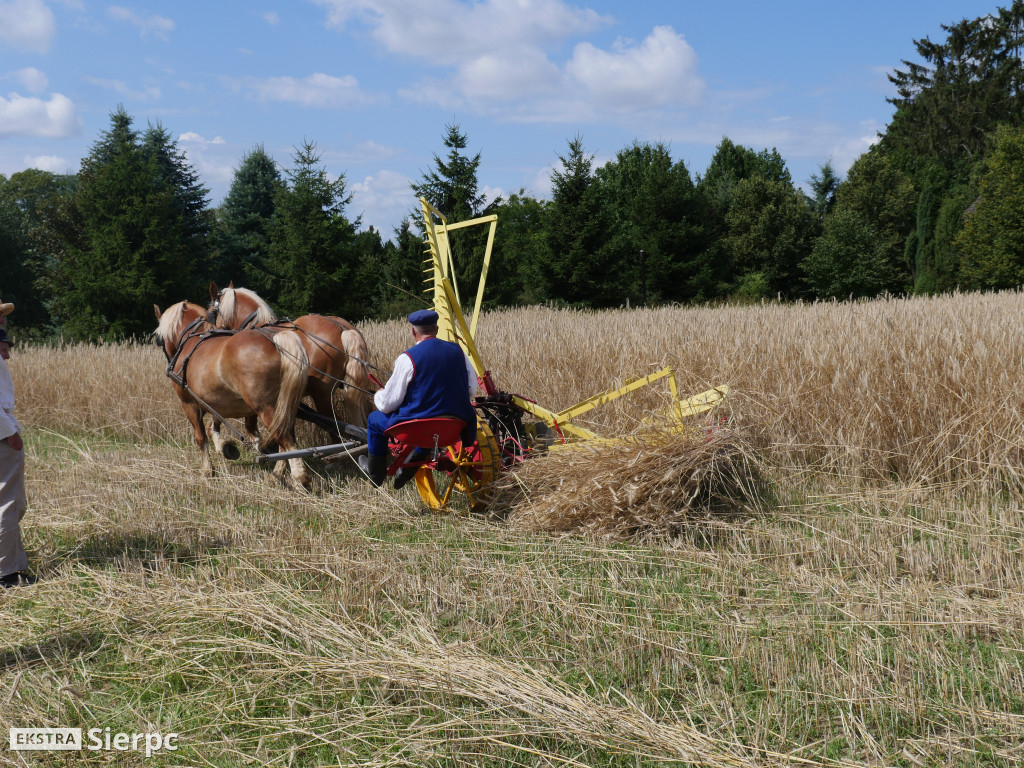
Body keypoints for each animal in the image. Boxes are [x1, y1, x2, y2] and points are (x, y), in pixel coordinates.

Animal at [153, 301, 309, 487]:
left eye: (159, 339)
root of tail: (276, 340)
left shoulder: (189, 403)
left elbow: (201, 436)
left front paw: (208, 470)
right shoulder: (215, 402)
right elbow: (213, 427)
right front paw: (226, 447)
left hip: (267, 407)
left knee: (285, 439)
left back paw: (299, 477)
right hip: (285, 406)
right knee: (286, 438)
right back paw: (278, 474)